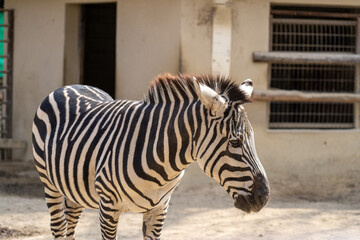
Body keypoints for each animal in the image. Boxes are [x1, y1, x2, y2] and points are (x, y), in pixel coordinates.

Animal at [33, 74, 270, 239]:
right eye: (235, 142)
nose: (264, 197)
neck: (163, 164)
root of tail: (70, 85)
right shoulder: (108, 208)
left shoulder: (160, 208)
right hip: (50, 184)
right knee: (58, 226)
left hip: (73, 189)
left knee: (70, 224)